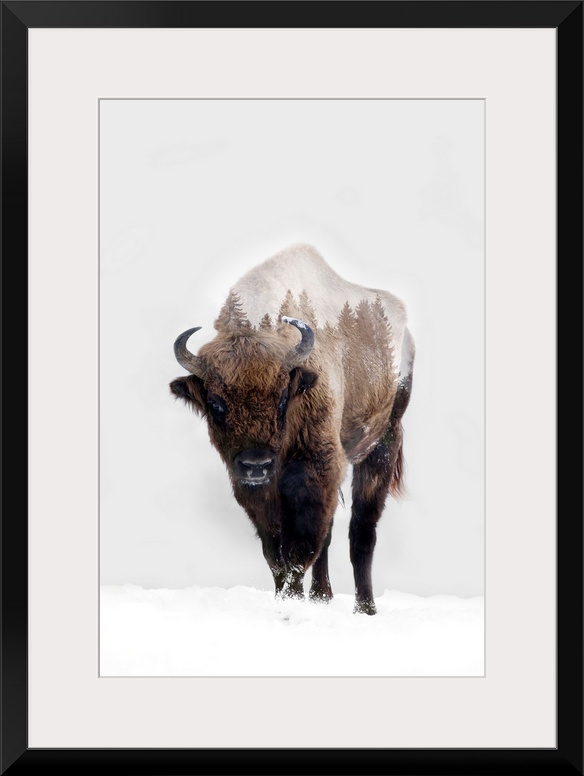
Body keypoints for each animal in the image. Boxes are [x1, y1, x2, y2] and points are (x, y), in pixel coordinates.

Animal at [170, 244, 414, 614]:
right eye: (215, 403)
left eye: (284, 396)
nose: (256, 464)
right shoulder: (256, 491)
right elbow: (277, 554)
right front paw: (291, 601)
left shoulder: (316, 470)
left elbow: (301, 549)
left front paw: (292, 604)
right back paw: (322, 597)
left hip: (383, 441)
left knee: (362, 530)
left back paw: (365, 608)